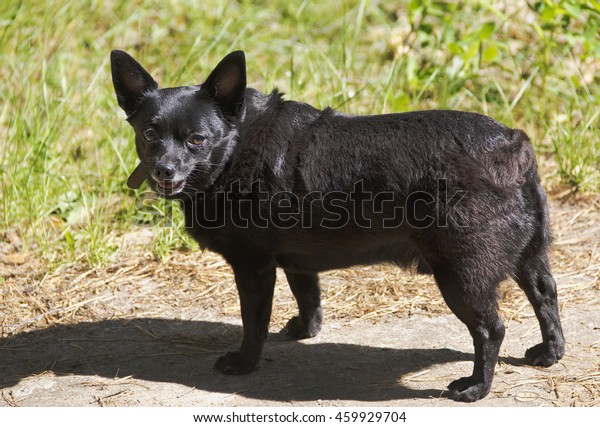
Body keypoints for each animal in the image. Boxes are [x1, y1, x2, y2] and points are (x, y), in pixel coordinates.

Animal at [110, 49, 564, 402]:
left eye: (197, 140)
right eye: (149, 134)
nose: (164, 169)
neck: (236, 146)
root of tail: (512, 144)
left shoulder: (253, 267)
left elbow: (254, 323)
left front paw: (244, 362)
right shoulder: (296, 259)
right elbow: (307, 296)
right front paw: (306, 330)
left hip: (461, 277)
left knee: (491, 330)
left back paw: (475, 387)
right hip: (529, 259)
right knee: (546, 295)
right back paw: (550, 352)